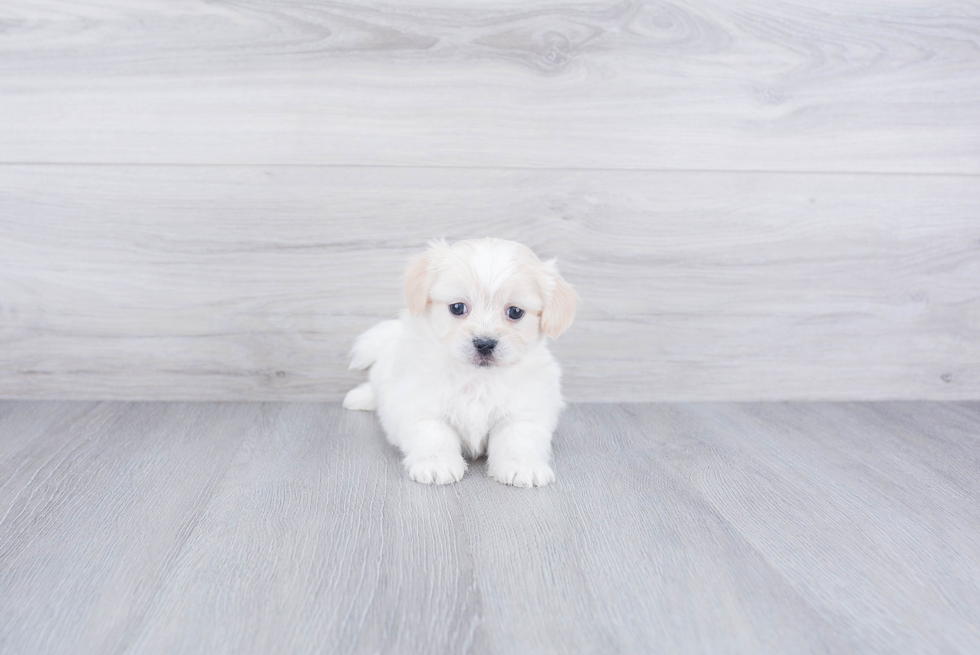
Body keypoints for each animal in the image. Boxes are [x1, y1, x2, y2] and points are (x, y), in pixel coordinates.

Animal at [342, 237, 576, 486]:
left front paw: (523, 467)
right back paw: (360, 397)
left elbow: (518, 439)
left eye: (515, 312)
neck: (477, 377)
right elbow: (434, 434)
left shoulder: (525, 410)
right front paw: (437, 464)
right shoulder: (422, 405)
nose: (484, 343)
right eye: (457, 307)